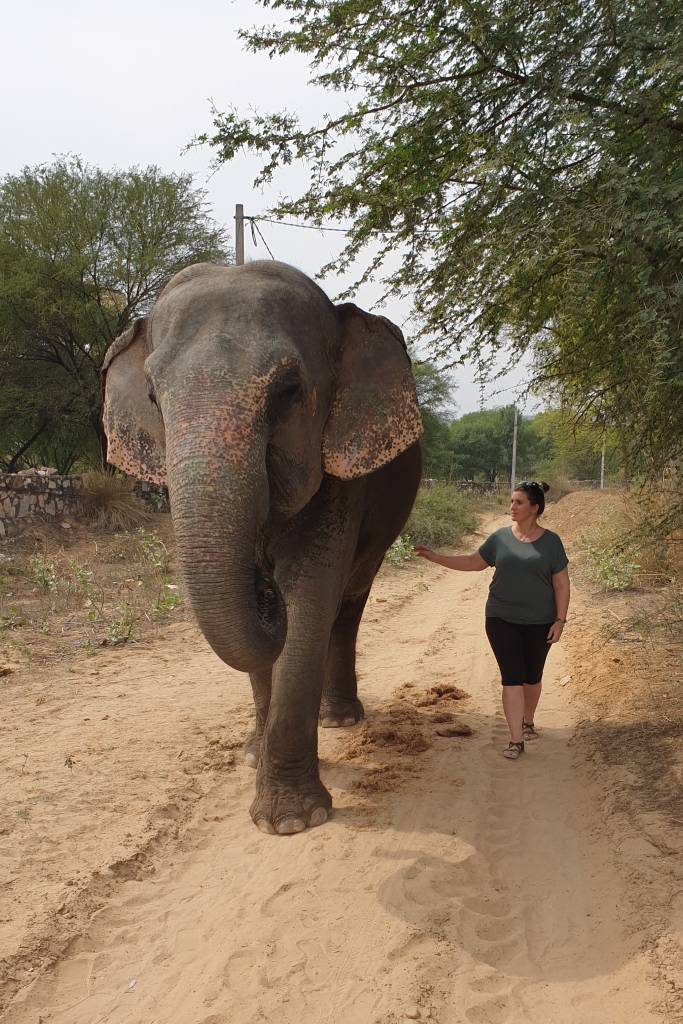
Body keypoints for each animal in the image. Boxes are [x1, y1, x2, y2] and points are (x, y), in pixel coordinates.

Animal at [101, 260, 421, 835]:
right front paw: (256, 759)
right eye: (154, 397)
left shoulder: (342, 480)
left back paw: (340, 718)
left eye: (288, 391)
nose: (264, 587)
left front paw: (291, 821)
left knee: (347, 606)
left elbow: (309, 597)